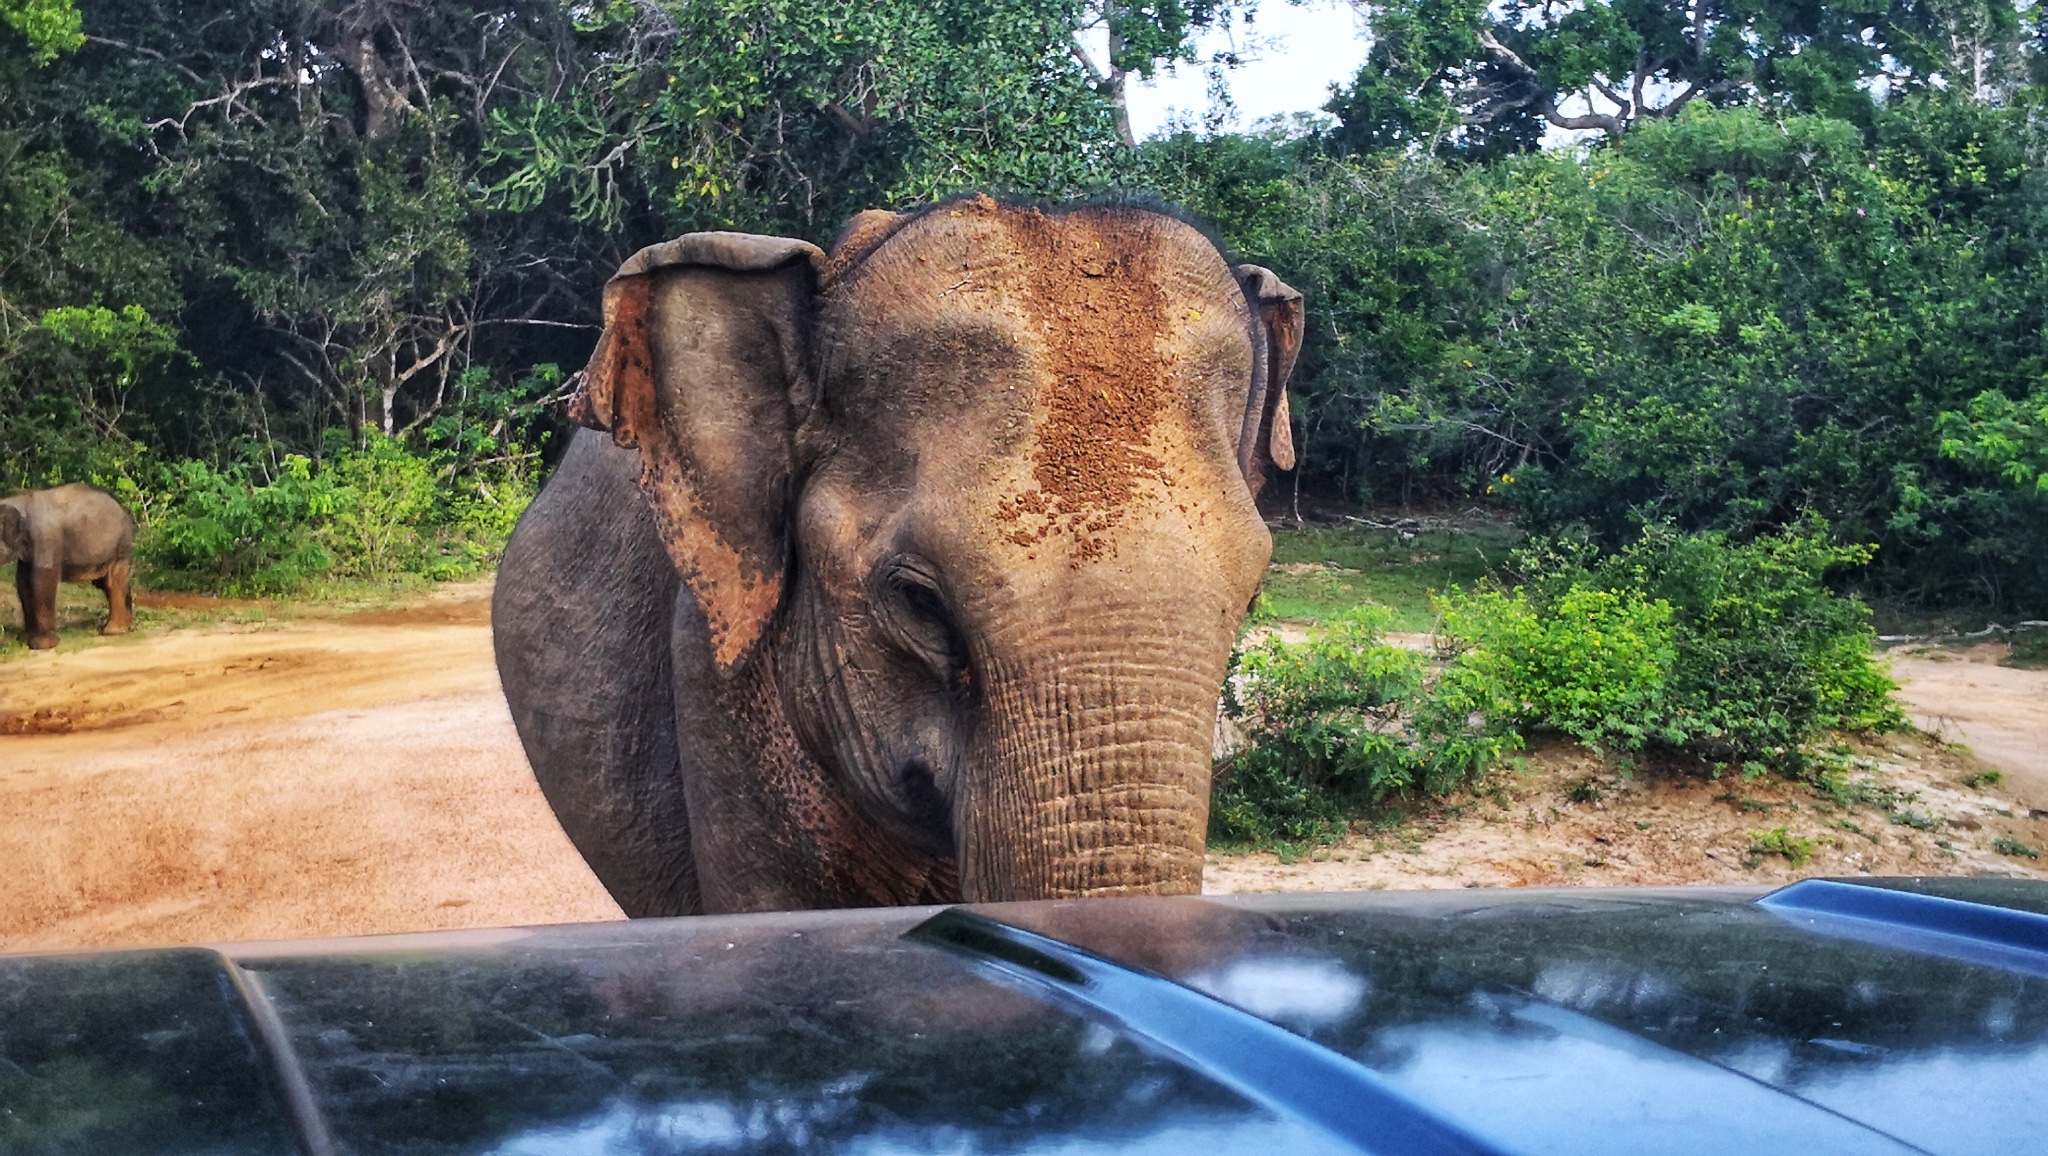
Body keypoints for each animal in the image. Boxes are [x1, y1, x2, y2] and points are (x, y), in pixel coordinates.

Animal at [2, 483, 136, 651]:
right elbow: (23, 582)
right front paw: (24, 639)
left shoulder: (46, 537)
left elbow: (42, 582)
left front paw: (43, 645)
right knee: (106, 583)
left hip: (120, 545)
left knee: (113, 582)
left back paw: (113, 631)